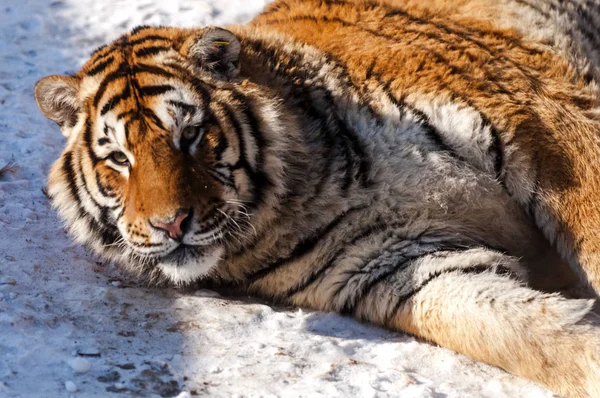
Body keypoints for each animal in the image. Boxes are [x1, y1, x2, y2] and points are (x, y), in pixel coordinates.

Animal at [34, 0, 600, 396]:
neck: (308, 195)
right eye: (119, 158)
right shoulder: (398, 264)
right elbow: (517, 330)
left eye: (190, 134)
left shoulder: (539, 116)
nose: (170, 224)